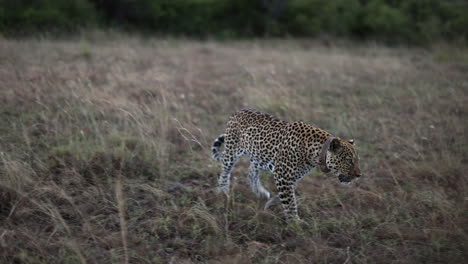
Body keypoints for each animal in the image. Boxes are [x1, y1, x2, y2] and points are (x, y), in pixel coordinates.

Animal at [212, 108, 362, 220]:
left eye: (357, 160)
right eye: (349, 160)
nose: (359, 175)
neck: (316, 153)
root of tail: (237, 111)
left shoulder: (289, 176)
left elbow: (288, 195)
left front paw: (271, 204)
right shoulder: (283, 175)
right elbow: (290, 202)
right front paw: (296, 223)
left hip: (261, 156)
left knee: (251, 171)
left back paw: (261, 192)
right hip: (232, 151)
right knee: (225, 170)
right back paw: (223, 191)